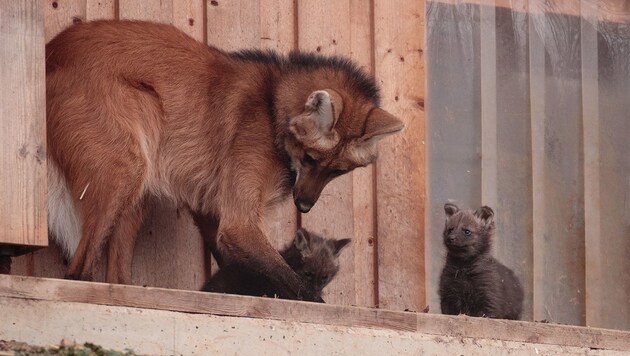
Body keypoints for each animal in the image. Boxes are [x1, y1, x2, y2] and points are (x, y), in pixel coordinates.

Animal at [48, 20, 404, 302]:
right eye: (310, 158)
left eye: (338, 171)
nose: (303, 206)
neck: (273, 109)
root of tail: (52, 50)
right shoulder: (238, 221)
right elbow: (279, 270)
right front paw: (310, 298)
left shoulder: (210, 206)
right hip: (131, 154)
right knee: (77, 270)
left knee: (115, 269)